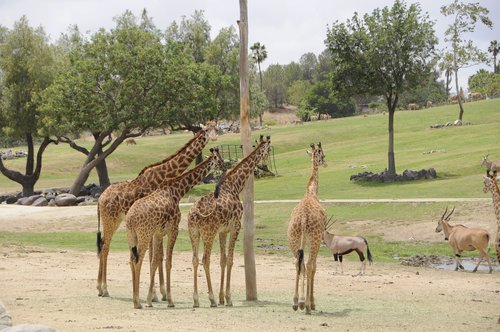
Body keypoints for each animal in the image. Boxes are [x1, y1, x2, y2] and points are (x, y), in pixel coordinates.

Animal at [95, 121, 217, 296]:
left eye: (216, 128)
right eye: (207, 130)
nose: (214, 138)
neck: (166, 174)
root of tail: (99, 199)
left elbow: (157, 254)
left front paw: (159, 291)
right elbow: (154, 254)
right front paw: (157, 292)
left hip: (114, 220)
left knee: (103, 244)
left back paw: (99, 286)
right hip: (110, 219)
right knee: (105, 246)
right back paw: (104, 288)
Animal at [126, 148, 226, 308]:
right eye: (220, 160)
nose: (225, 167)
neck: (177, 191)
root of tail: (130, 219)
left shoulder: (159, 232)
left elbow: (156, 260)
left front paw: (151, 299)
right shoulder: (173, 229)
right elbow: (168, 262)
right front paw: (169, 301)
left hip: (132, 236)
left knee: (131, 259)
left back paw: (137, 300)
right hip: (144, 235)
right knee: (137, 260)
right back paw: (137, 302)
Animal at [188, 135, 274, 308]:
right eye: (268, 147)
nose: (267, 158)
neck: (235, 185)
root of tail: (193, 214)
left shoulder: (223, 231)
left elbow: (222, 259)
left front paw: (222, 297)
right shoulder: (236, 227)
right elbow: (230, 260)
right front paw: (227, 298)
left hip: (194, 233)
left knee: (194, 260)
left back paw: (196, 300)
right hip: (208, 234)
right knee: (205, 260)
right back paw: (211, 299)